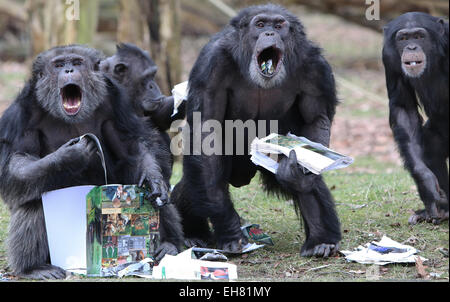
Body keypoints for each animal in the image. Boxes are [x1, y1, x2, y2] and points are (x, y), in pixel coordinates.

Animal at [0, 46, 183, 280]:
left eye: (77, 62)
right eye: (59, 65)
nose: (69, 70)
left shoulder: (115, 102)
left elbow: (131, 145)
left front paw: (153, 180)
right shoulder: (22, 115)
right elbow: (18, 161)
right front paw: (69, 156)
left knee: (154, 194)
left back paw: (169, 245)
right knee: (33, 198)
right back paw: (34, 267)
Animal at [172, 4, 342, 258]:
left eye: (279, 25)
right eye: (260, 24)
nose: (270, 33)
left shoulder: (316, 68)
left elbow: (316, 119)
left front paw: (296, 170)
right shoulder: (211, 65)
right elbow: (206, 131)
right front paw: (230, 231)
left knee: (311, 182)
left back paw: (322, 240)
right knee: (198, 180)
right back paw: (194, 233)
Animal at [382, 11, 448, 224]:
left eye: (419, 36)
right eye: (404, 38)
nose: (411, 47)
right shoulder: (388, 57)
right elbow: (404, 108)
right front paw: (426, 181)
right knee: (432, 147)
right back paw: (441, 211)